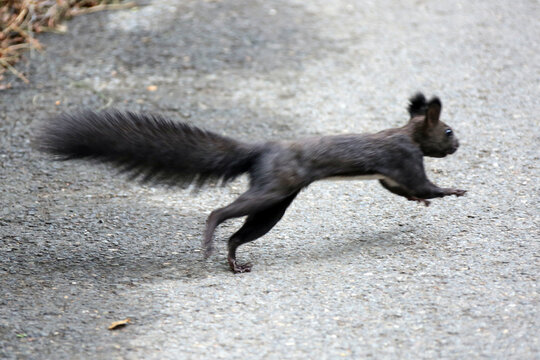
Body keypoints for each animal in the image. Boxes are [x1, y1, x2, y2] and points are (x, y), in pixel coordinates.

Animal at [38, 93, 468, 272]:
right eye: (447, 130)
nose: (458, 144)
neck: (406, 134)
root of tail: (261, 150)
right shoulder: (405, 159)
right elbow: (422, 184)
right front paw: (452, 191)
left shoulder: (389, 174)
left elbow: (399, 190)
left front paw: (421, 202)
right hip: (273, 189)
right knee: (219, 212)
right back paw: (210, 243)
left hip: (274, 206)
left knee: (239, 233)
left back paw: (233, 262)